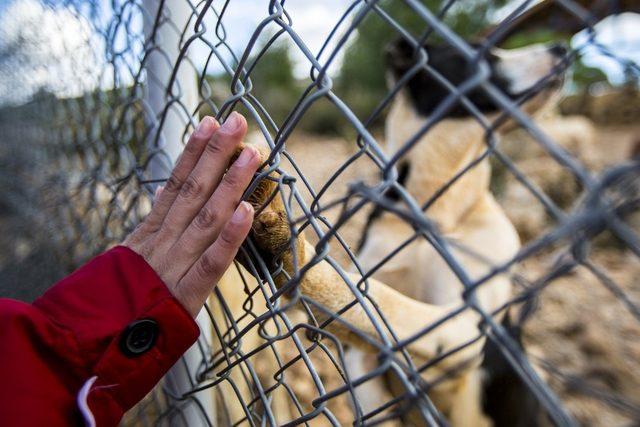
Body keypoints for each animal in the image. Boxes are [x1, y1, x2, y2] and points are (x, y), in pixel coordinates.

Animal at [0, 0, 636, 426]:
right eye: (480, 53)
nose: (562, 49)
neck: (435, 206)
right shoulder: (371, 360)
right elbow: (364, 309)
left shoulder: (465, 325)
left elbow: (385, 303)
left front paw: (290, 244)